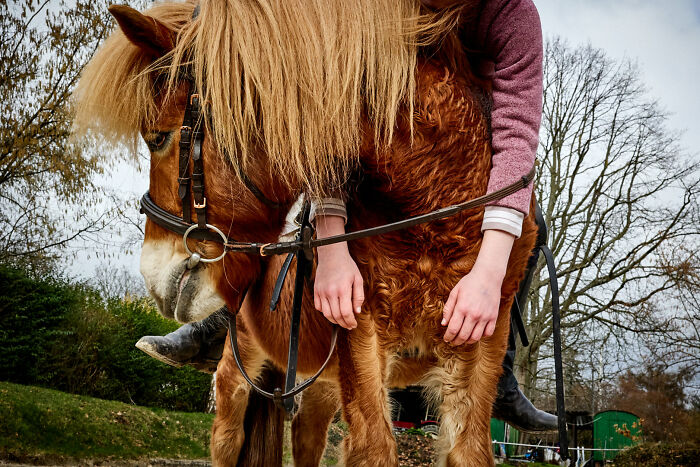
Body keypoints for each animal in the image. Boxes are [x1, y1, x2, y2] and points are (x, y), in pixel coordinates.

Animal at [73, 1, 538, 465]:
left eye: (159, 138)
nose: (153, 276)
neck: (435, 210)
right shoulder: (362, 336)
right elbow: (375, 447)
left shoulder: (480, 346)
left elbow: (468, 450)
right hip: (238, 374)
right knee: (227, 438)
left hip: (319, 390)